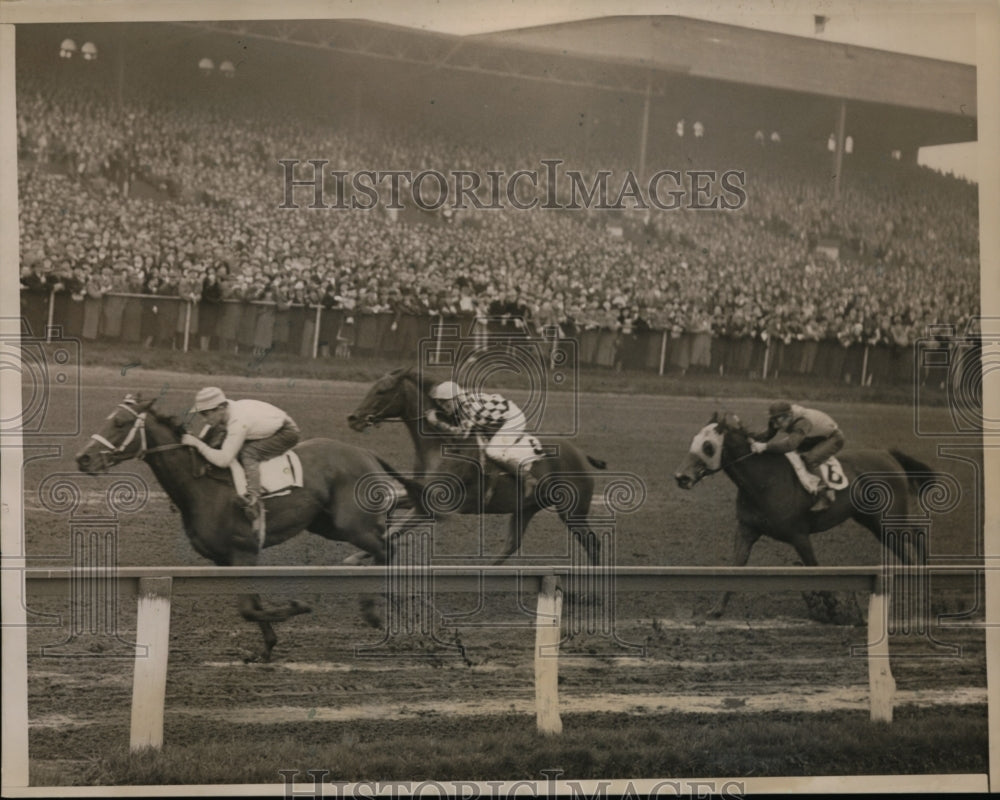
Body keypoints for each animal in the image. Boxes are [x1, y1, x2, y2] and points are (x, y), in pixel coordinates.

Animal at [76, 390, 396, 660]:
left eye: (120, 422)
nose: (83, 458)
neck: (202, 485)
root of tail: (366, 453)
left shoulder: (243, 551)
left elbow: (248, 609)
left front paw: (297, 607)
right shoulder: (228, 559)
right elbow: (251, 607)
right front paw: (267, 647)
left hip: (353, 524)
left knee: (385, 548)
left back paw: (375, 609)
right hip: (326, 525)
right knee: (383, 547)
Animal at [348, 366, 604, 564]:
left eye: (381, 391)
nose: (353, 418)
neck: (440, 446)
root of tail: (581, 454)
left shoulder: (431, 506)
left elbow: (393, 532)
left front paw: (354, 557)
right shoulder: (418, 494)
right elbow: (391, 508)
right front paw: (363, 554)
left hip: (573, 512)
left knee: (594, 544)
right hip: (526, 508)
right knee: (511, 544)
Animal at [676, 412, 940, 620]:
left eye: (708, 446)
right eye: (693, 441)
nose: (681, 477)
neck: (764, 481)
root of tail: (889, 454)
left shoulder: (799, 535)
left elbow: (814, 569)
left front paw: (832, 607)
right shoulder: (746, 530)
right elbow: (734, 568)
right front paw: (716, 610)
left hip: (888, 520)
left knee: (917, 533)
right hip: (874, 523)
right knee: (904, 547)